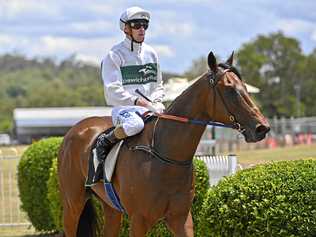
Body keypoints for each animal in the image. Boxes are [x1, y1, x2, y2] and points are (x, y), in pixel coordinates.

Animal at [57, 52, 270, 237]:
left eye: (244, 86)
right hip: (72, 204)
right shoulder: (139, 220)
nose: (262, 128)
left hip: (110, 208)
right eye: (229, 88)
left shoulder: (180, 218)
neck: (167, 156)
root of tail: (73, 131)